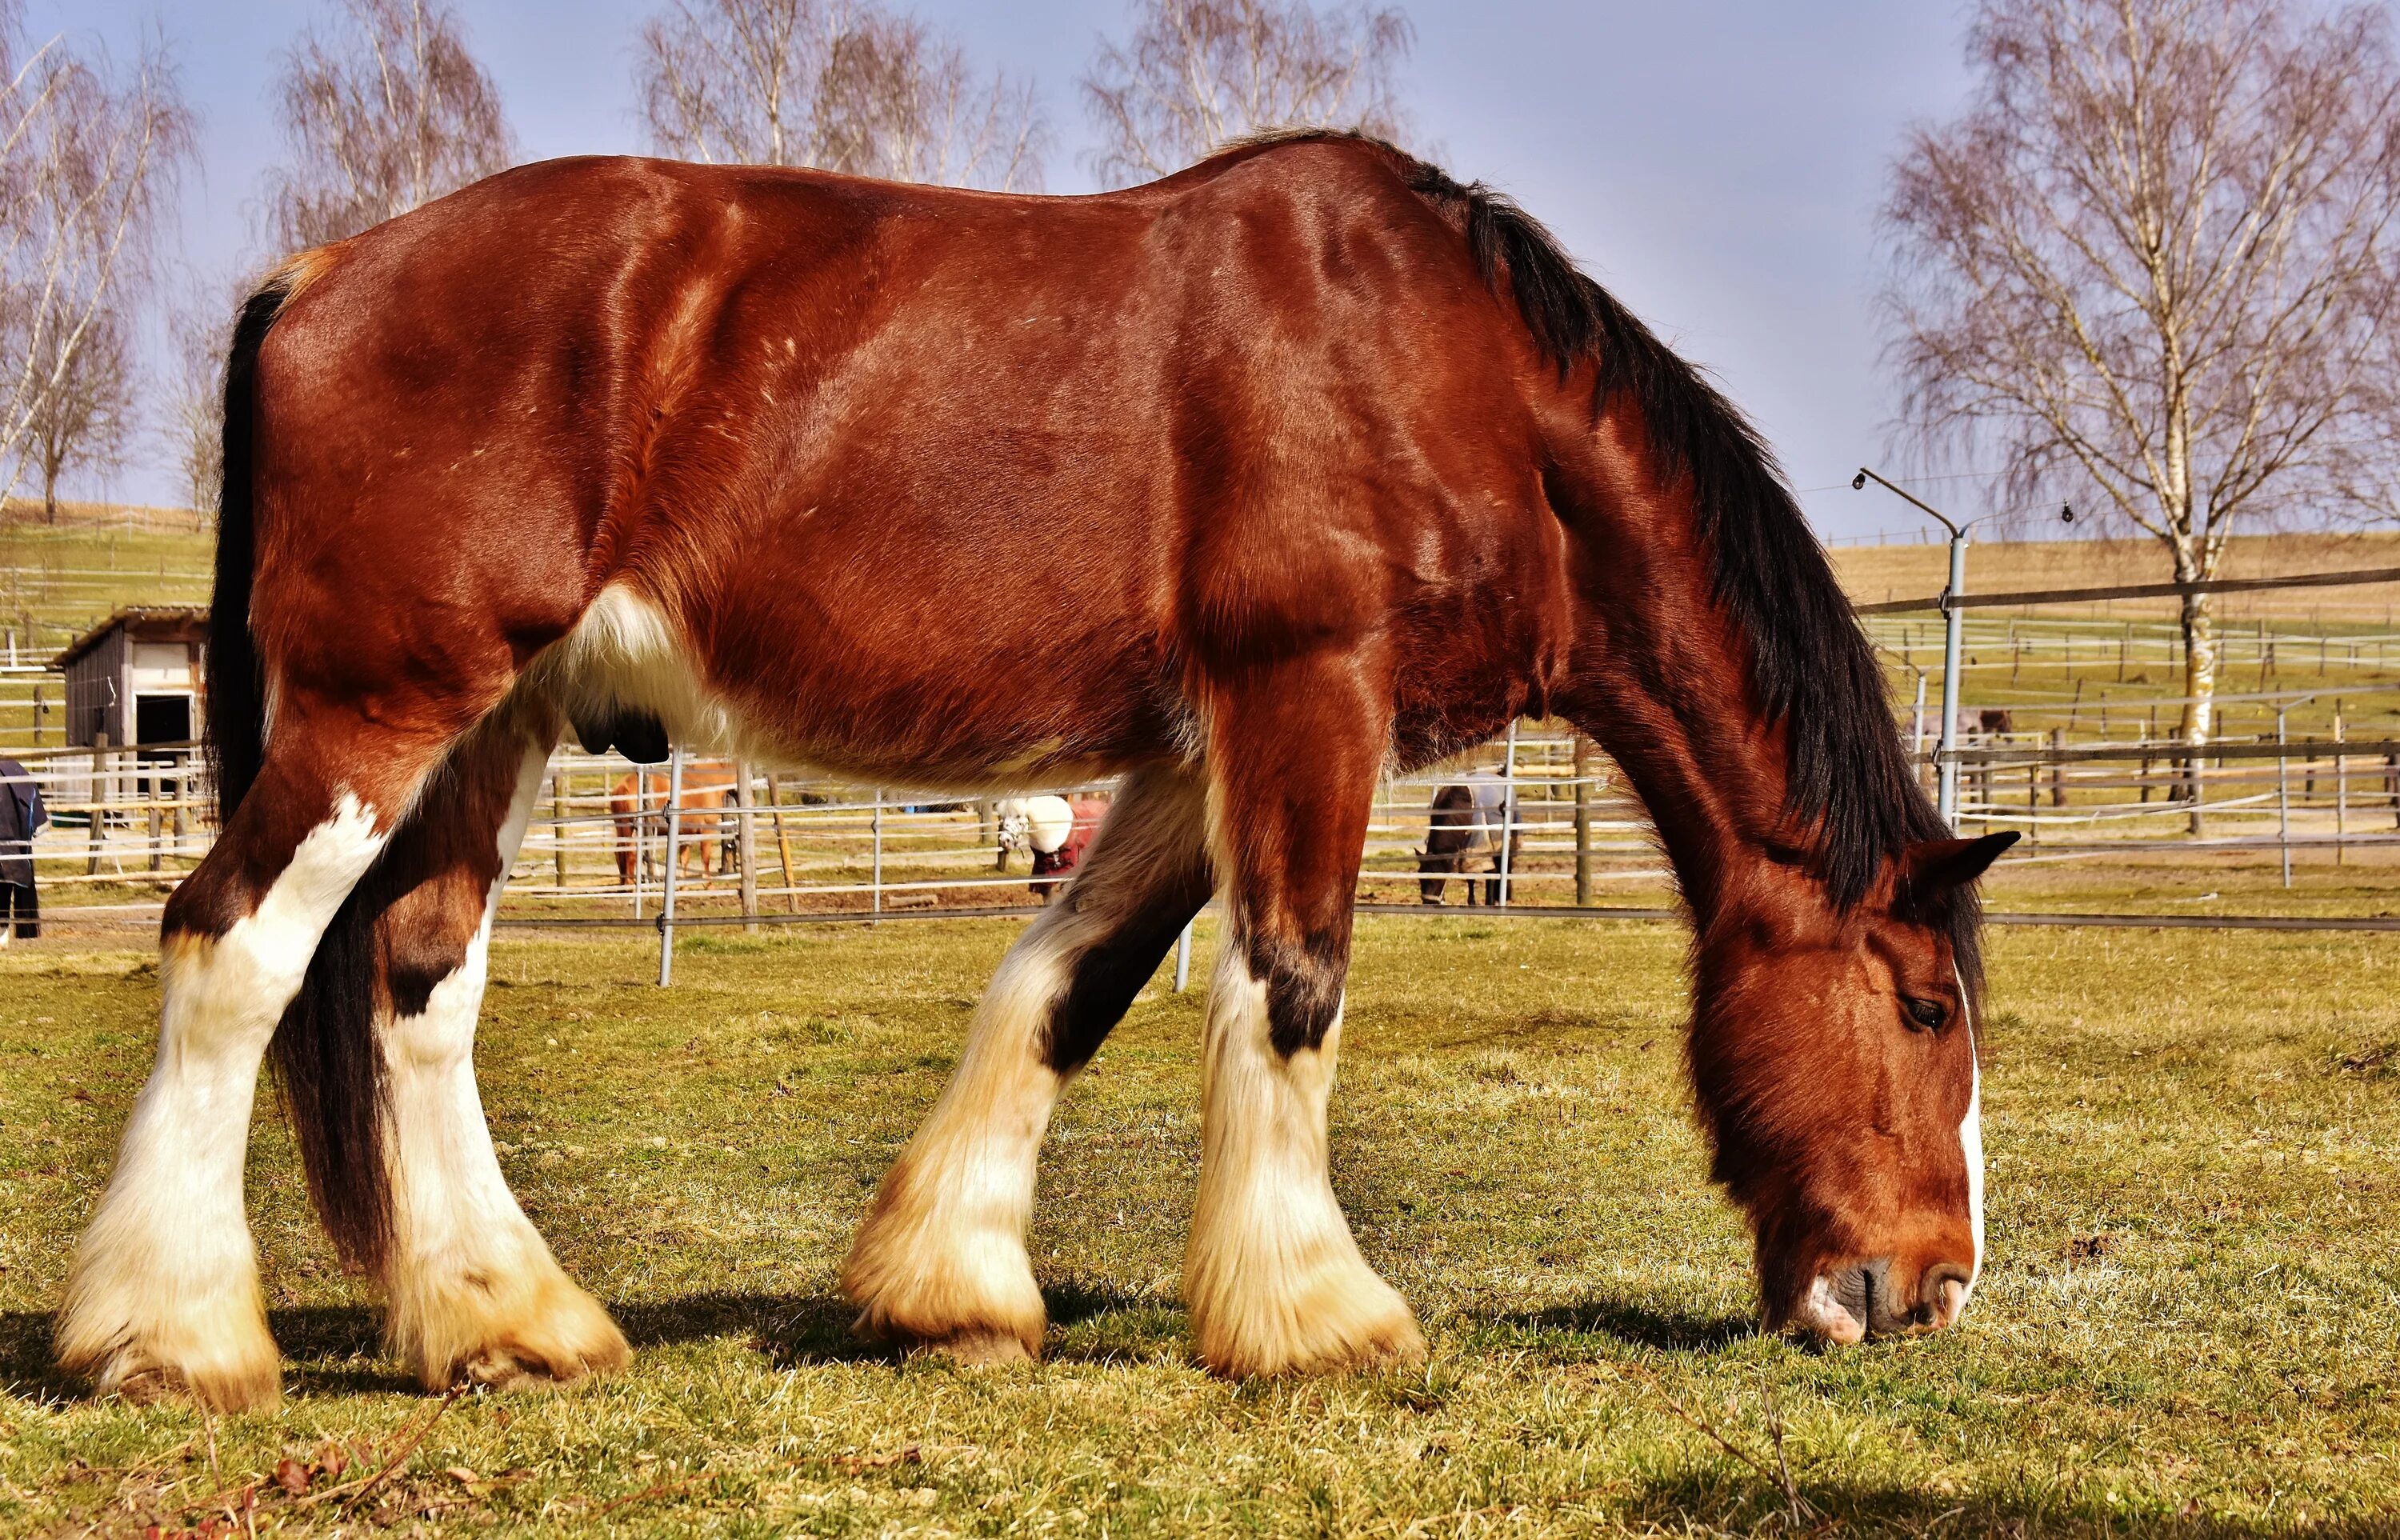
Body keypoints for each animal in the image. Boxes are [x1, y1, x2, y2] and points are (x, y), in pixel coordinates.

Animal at [1411, 767, 1526, 902]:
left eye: (1439, 879)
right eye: (1420, 877)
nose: (1428, 901)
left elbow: (1489, 873)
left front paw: (1488, 901)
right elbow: (1470, 878)